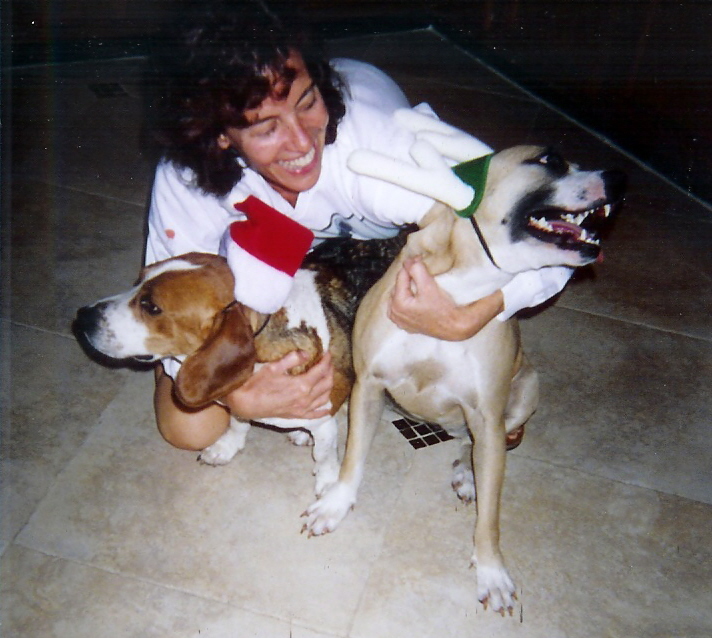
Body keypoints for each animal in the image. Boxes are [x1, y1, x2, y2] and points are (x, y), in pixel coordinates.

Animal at [74, 234, 409, 497]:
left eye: (151, 307)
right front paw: (227, 447)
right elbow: (238, 423)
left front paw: (329, 485)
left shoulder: (325, 423)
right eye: (137, 281)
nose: (83, 316)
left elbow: (325, 455)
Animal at [303, 146, 626, 613]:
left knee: (480, 444)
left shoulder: (486, 412)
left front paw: (492, 571)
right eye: (549, 159)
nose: (621, 178)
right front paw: (335, 505)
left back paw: (468, 473)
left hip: (525, 390)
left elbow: (490, 516)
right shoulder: (369, 384)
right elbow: (353, 459)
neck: (455, 292)